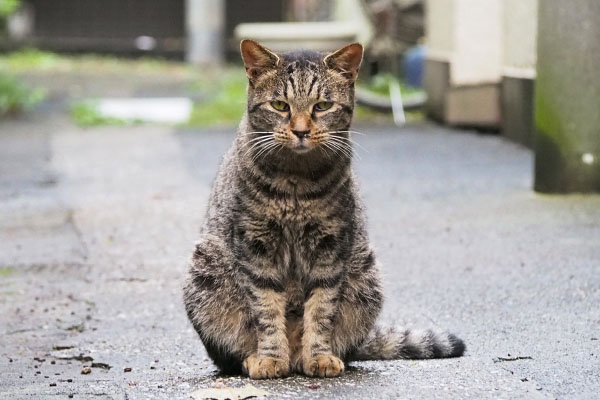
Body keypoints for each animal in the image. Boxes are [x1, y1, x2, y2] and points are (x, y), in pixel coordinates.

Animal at [183, 39, 464, 380]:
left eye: (322, 106)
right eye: (280, 105)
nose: (301, 131)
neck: (296, 182)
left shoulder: (330, 246)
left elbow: (321, 309)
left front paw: (318, 356)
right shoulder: (256, 245)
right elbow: (266, 309)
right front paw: (270, 357)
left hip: (366, 273)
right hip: (205, 269)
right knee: (231, 355)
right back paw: (257, 357)